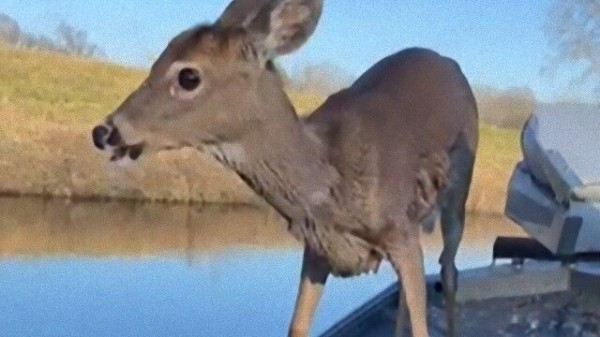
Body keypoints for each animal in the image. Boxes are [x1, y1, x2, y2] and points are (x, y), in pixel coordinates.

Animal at [92, 1, 478, 334]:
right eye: (158, 59)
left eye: (188, 76)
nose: (104, 132)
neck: (331, 180)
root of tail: (448, 62)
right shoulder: (317, 248)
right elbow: (297, 326)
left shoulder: (399, 232)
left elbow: (421, 320)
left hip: (458, 189)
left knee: (449, 269)